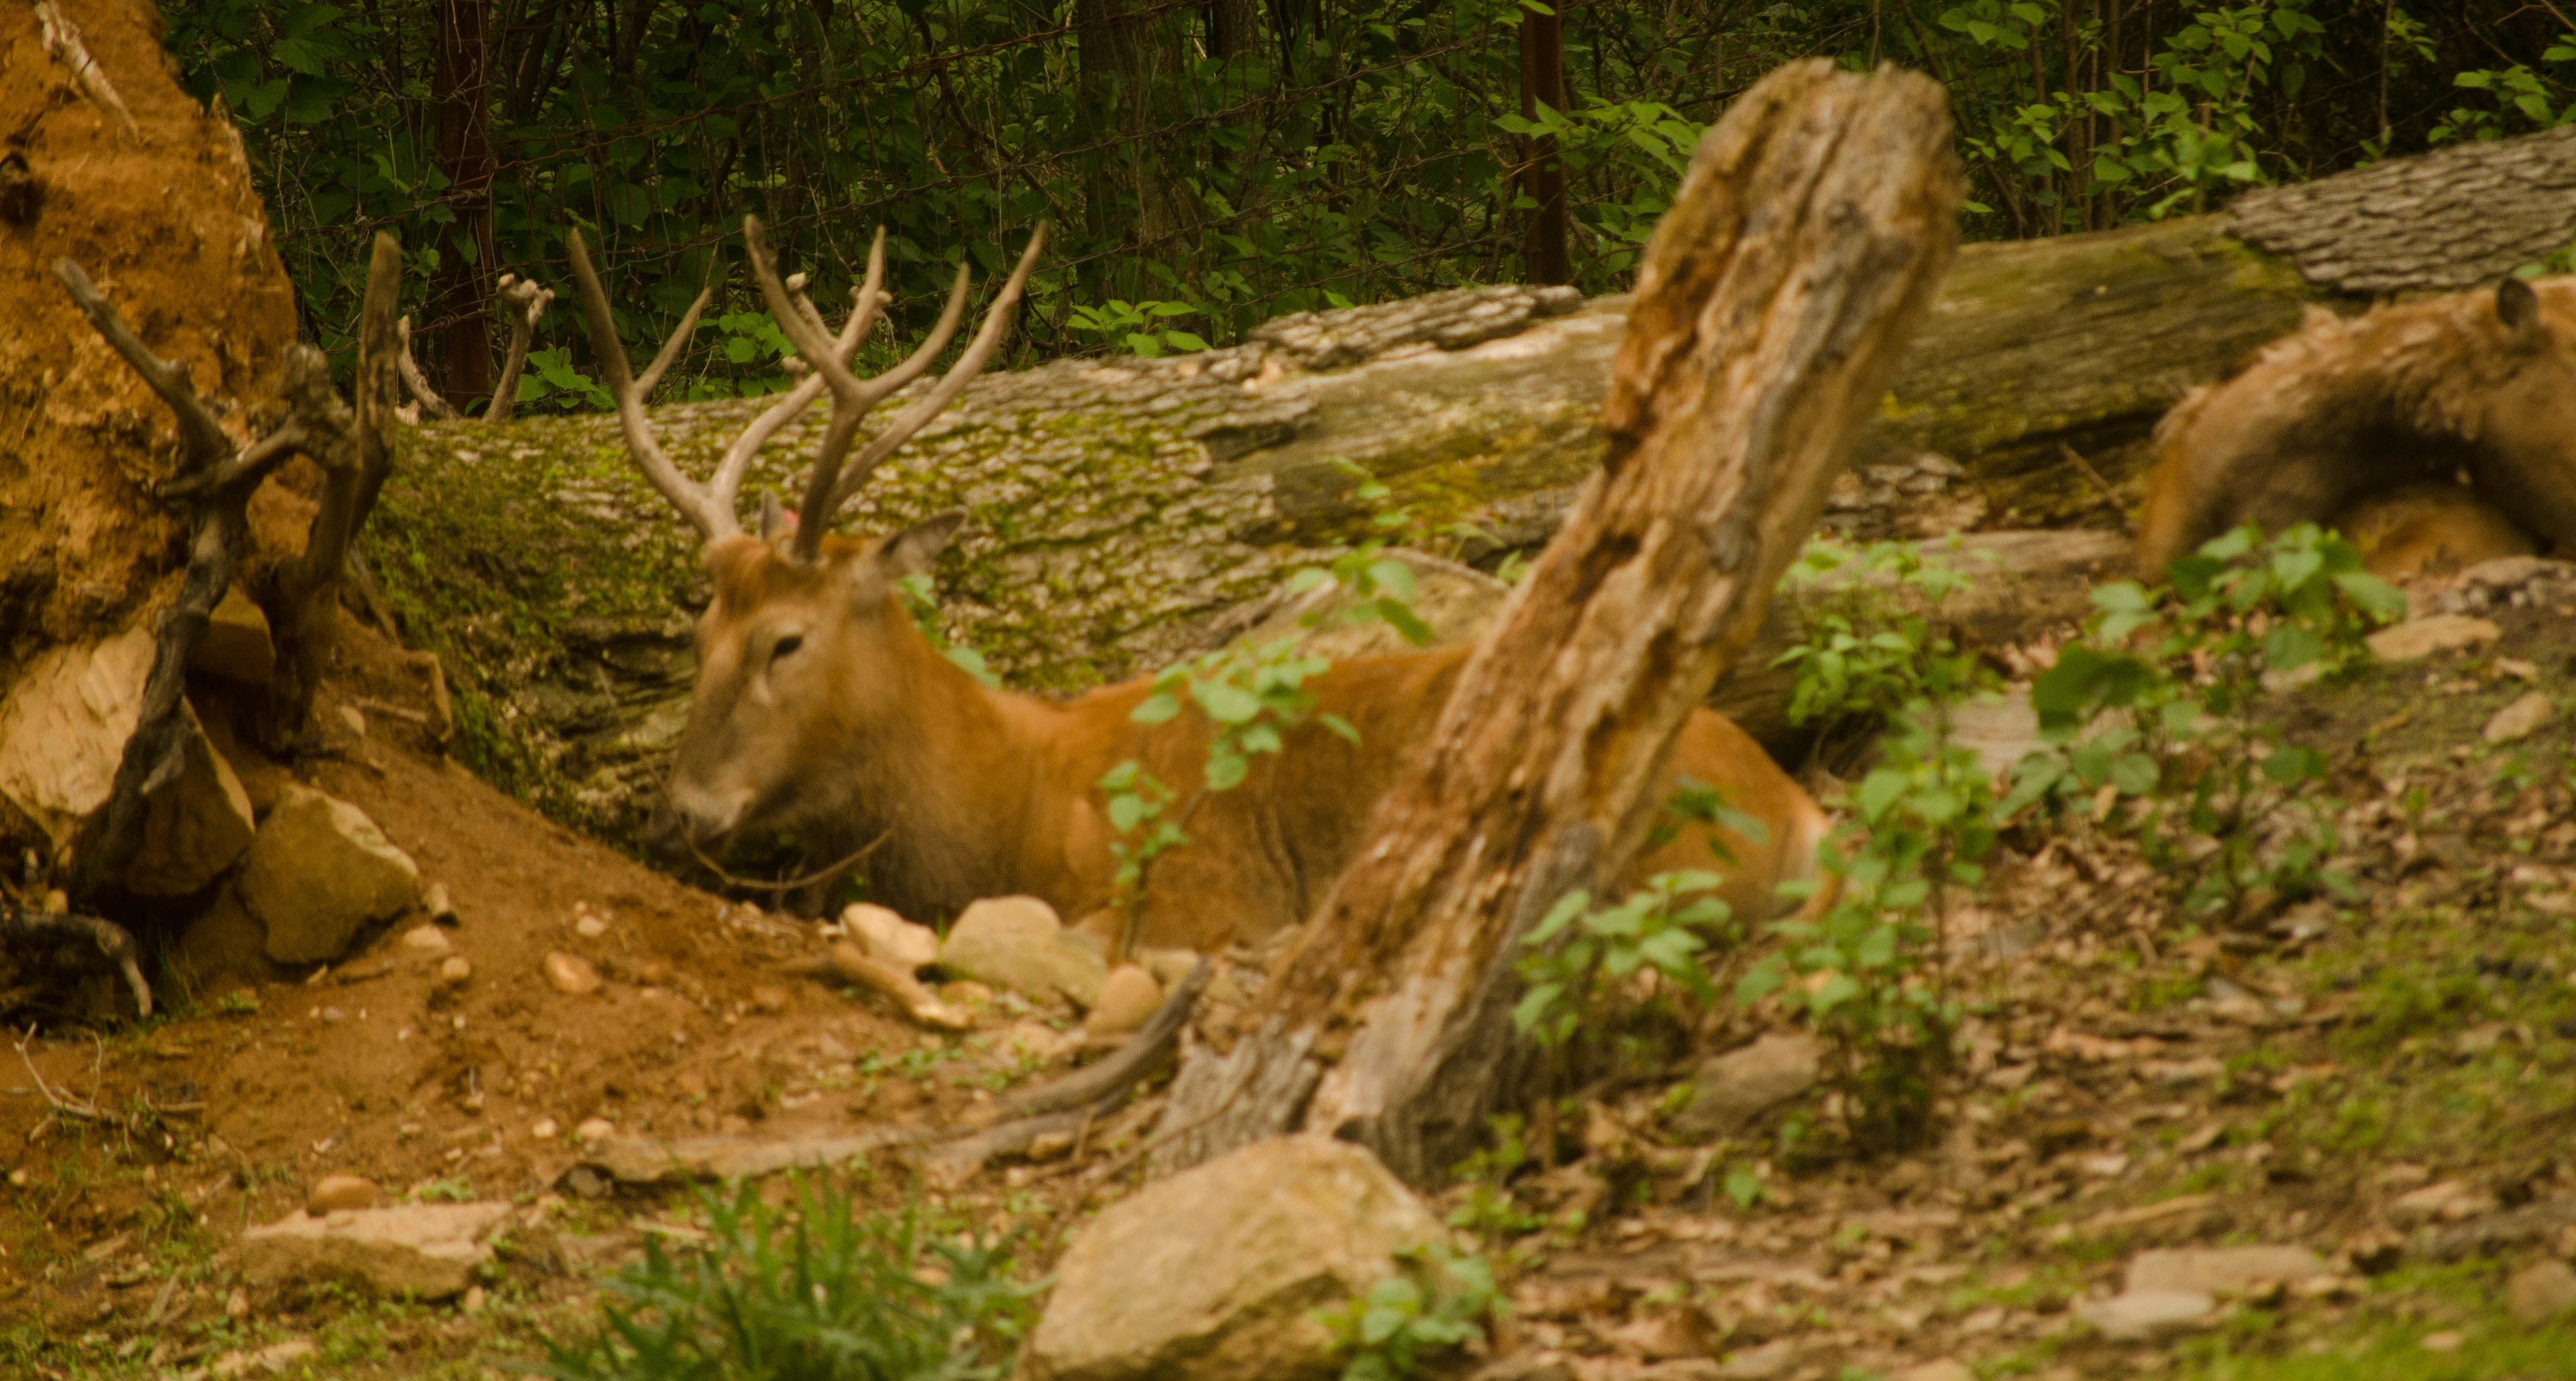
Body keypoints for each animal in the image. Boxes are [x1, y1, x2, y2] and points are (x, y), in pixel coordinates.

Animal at [565, 215, 1835, 956]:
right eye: (698, 634)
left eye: (786, 639)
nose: (679, 811)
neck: (1005, 805)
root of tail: (1795, 810)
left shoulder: (1186, 902)